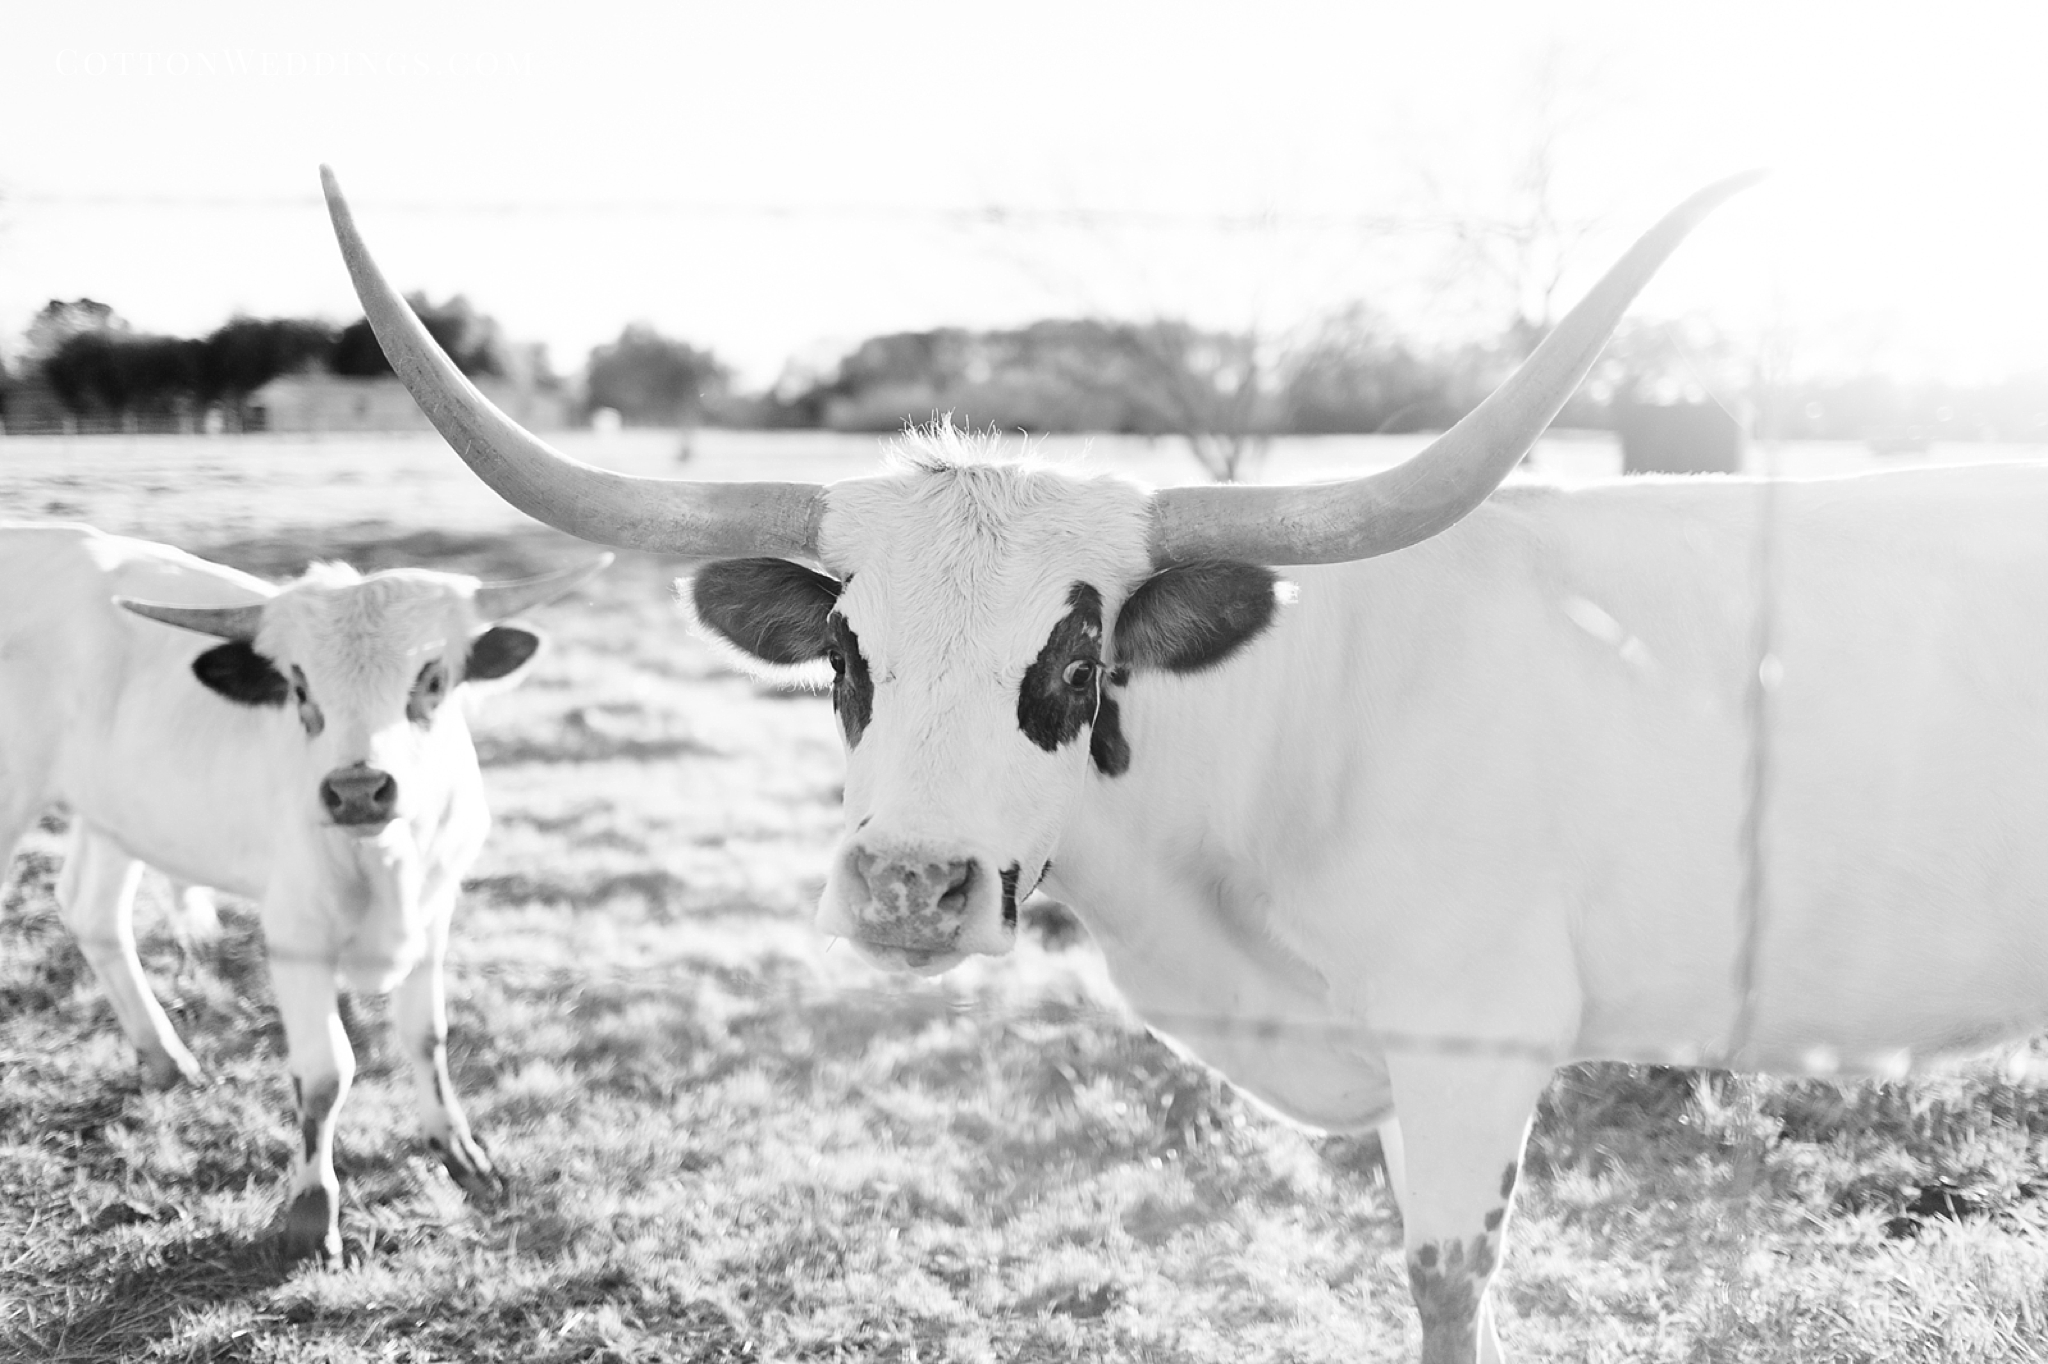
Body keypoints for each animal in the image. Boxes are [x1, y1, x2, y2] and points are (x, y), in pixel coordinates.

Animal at [0, 524, 606, 1263]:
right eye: (297, 684)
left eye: (432, 679)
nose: (357, 789)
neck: (386, 863)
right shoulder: (295, 933)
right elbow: (325, 1077)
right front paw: (313, 1212)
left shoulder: (436, 912)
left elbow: (427, 1035)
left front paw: (460, 1151)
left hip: (117, 812)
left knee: (93, 911)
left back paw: (165, 1059)